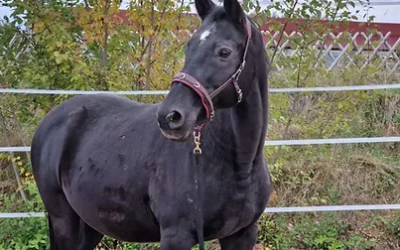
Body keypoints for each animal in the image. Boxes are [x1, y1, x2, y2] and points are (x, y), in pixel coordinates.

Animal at [32, 0, 272, 248]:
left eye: (224, 52)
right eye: (188, 47)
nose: (170, 116)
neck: (239, 166)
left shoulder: (242, 234)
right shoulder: (177, 235)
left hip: (90, 223)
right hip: (64, 220)